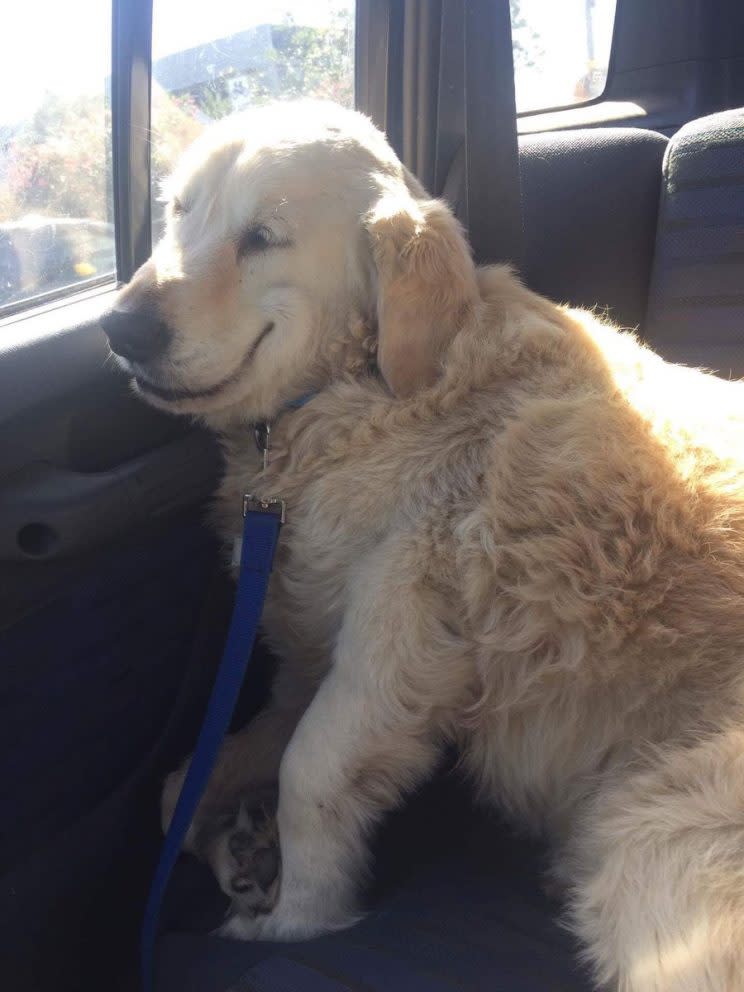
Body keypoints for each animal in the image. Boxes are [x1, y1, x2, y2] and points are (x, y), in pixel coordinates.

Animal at [101, 102, 744, 992]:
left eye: (263, 236)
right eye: (177, 211)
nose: (120, 327)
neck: (364, 387)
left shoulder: (402, 629)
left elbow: (309, 772)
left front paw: (297, 913)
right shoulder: (310, 653)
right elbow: (184, 782)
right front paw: (239, 843)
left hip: (661, 834)